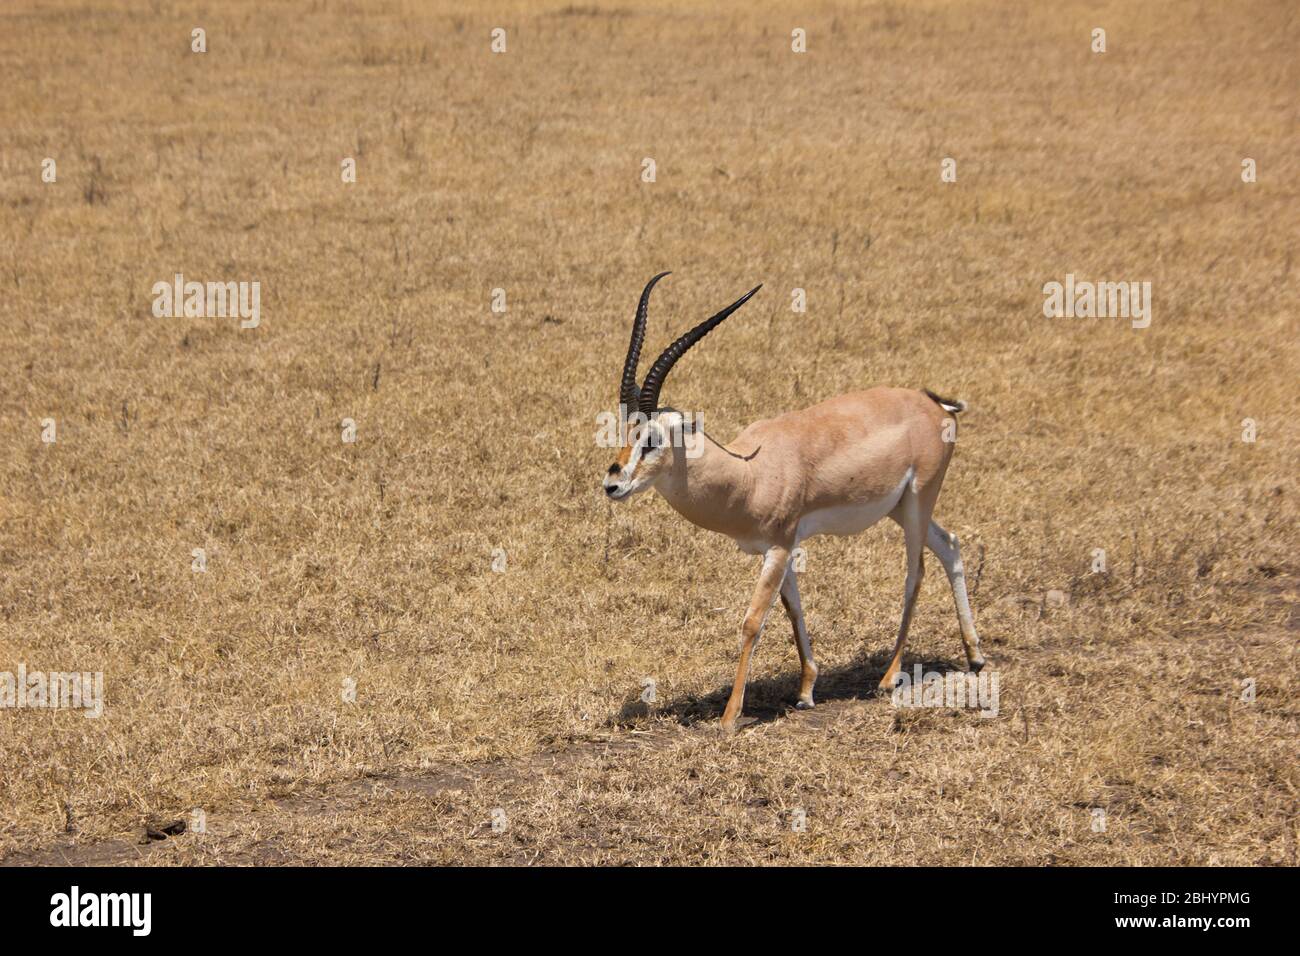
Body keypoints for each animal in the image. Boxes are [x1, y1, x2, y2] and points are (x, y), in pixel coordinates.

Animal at [602, 273, 985, 732]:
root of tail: (933, 402)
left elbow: (753, 620)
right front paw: (805, 691)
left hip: (917, 499)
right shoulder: (780, 549)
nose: (612, 484)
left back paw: (889, 677)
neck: (749, 475)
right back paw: (975, 657)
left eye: (652, 439)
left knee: (917, 572)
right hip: (901, 508)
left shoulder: (781, 546)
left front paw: (729, 717)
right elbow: (793, 610)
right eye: (624, 432)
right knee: (951, 546)